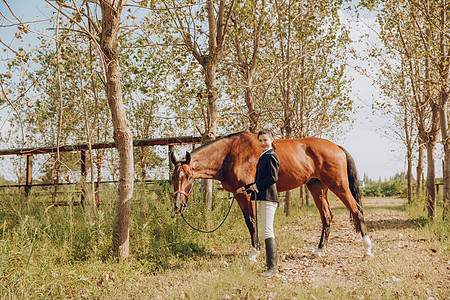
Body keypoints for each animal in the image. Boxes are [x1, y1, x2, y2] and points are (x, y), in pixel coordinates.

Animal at [170, 132, 372, 258]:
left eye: (189, 177)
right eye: (173, 177)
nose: (178, 206)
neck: (230, 154)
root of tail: (337, 147)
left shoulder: (246, 194)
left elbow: (251, 221)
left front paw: (254, 252)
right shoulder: (241, 195)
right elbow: (251, 221)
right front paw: (257, 248)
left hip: (339, 186)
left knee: (357, 211)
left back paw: (367, 250)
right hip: (317, 189)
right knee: (327, 217)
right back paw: (320, 250)